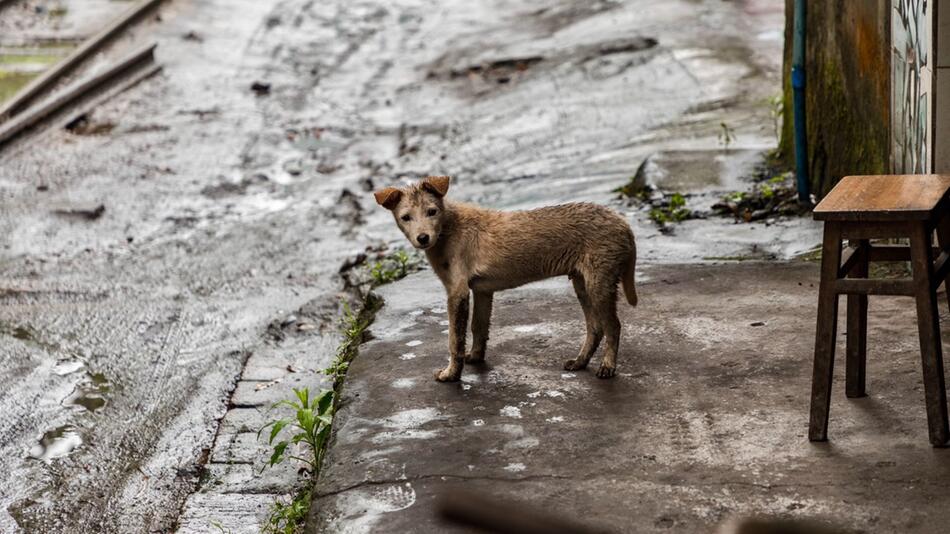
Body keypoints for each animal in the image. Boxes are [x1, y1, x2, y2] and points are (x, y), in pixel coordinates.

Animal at [374, 178, 640, 384]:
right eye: (406, 217)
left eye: (432, 211)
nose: (423, 238)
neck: (449, 229)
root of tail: (624, 224)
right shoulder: (481, 290)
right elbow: (479, 328)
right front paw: (475, 357)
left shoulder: (457, 291)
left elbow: (454, 339)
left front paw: (451, 374)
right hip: (582, 283)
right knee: (595, 327)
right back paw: (580, 362)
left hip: (600, 280)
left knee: (613, 326)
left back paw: (607, 367)